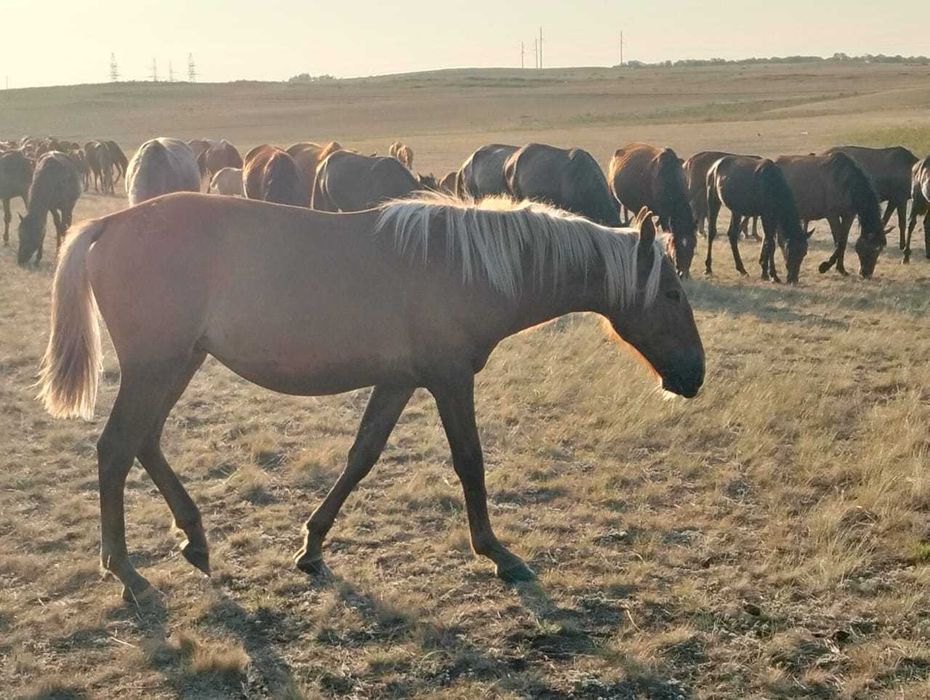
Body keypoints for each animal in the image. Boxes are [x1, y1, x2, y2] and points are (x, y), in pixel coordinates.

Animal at [38, 192, 703, 602]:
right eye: (671, 293)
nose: (695, 377)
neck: (466, 266)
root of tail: (110, 225)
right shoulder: (449, 379)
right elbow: (470, 462)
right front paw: (496, 552)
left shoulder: (399, 381)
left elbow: (361, 456)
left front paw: (311, 546)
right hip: (156, 367)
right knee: (116, 449)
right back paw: (127, 572)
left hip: (179, 363)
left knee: (144, 442)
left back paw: (194, 539)